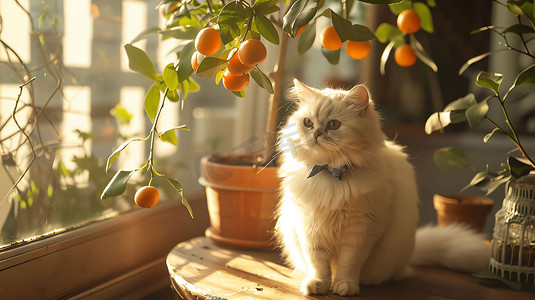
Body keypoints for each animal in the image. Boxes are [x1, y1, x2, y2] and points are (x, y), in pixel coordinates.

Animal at [278, 79, 492, 296]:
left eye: (334, 124)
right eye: (308, 122)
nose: (315, 133)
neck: (330, 172)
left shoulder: (361, 231)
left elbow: (349, 264)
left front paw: (345, 285)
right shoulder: (309, 228)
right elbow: (319, 266)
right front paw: (317, 285)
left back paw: (370, 281)